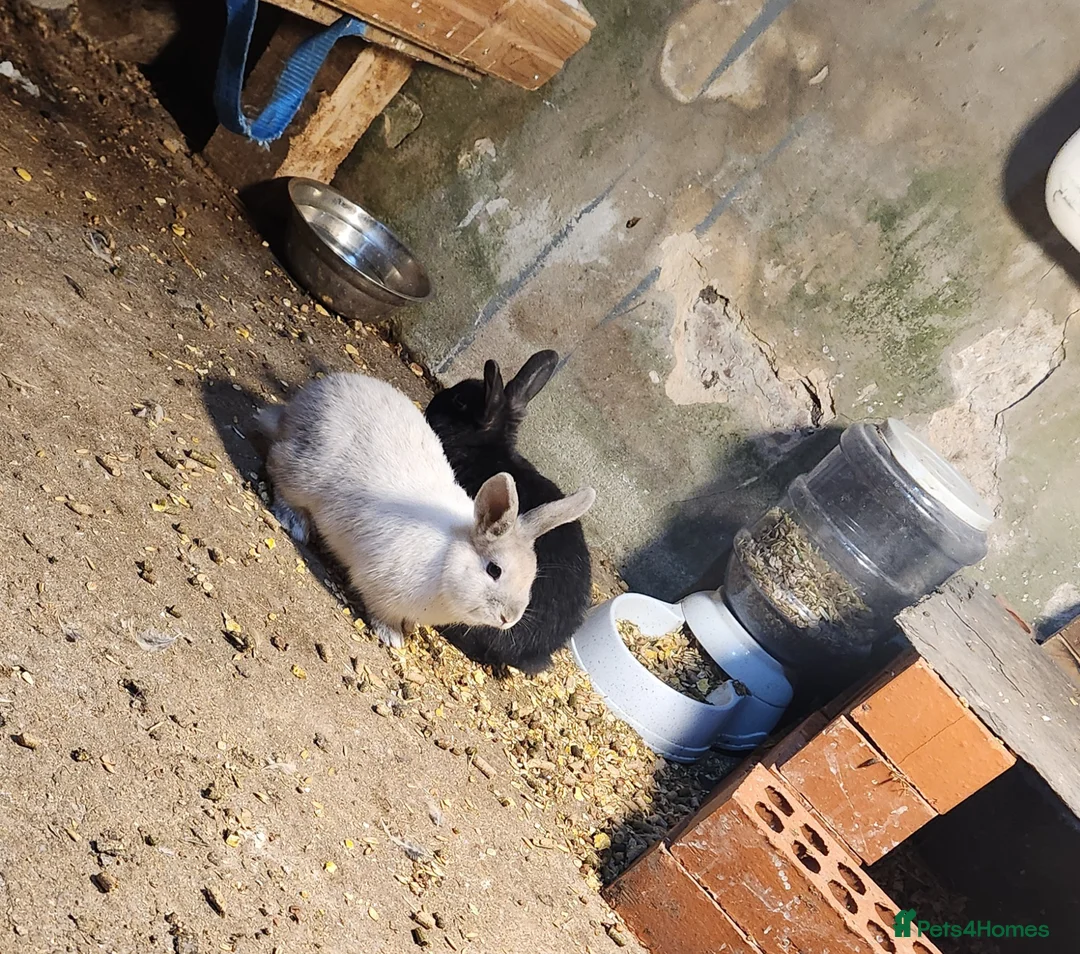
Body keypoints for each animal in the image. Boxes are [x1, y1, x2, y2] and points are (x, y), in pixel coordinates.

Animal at [254, 371, 596, 650]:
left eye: (532, 578)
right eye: (494, 570)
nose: (508, 618)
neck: (448, 559)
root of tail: (302, 404)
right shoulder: (379, 585)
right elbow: (382, 612)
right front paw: (393, 637)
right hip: (303, 472)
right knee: (277, 465)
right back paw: (295, 520)